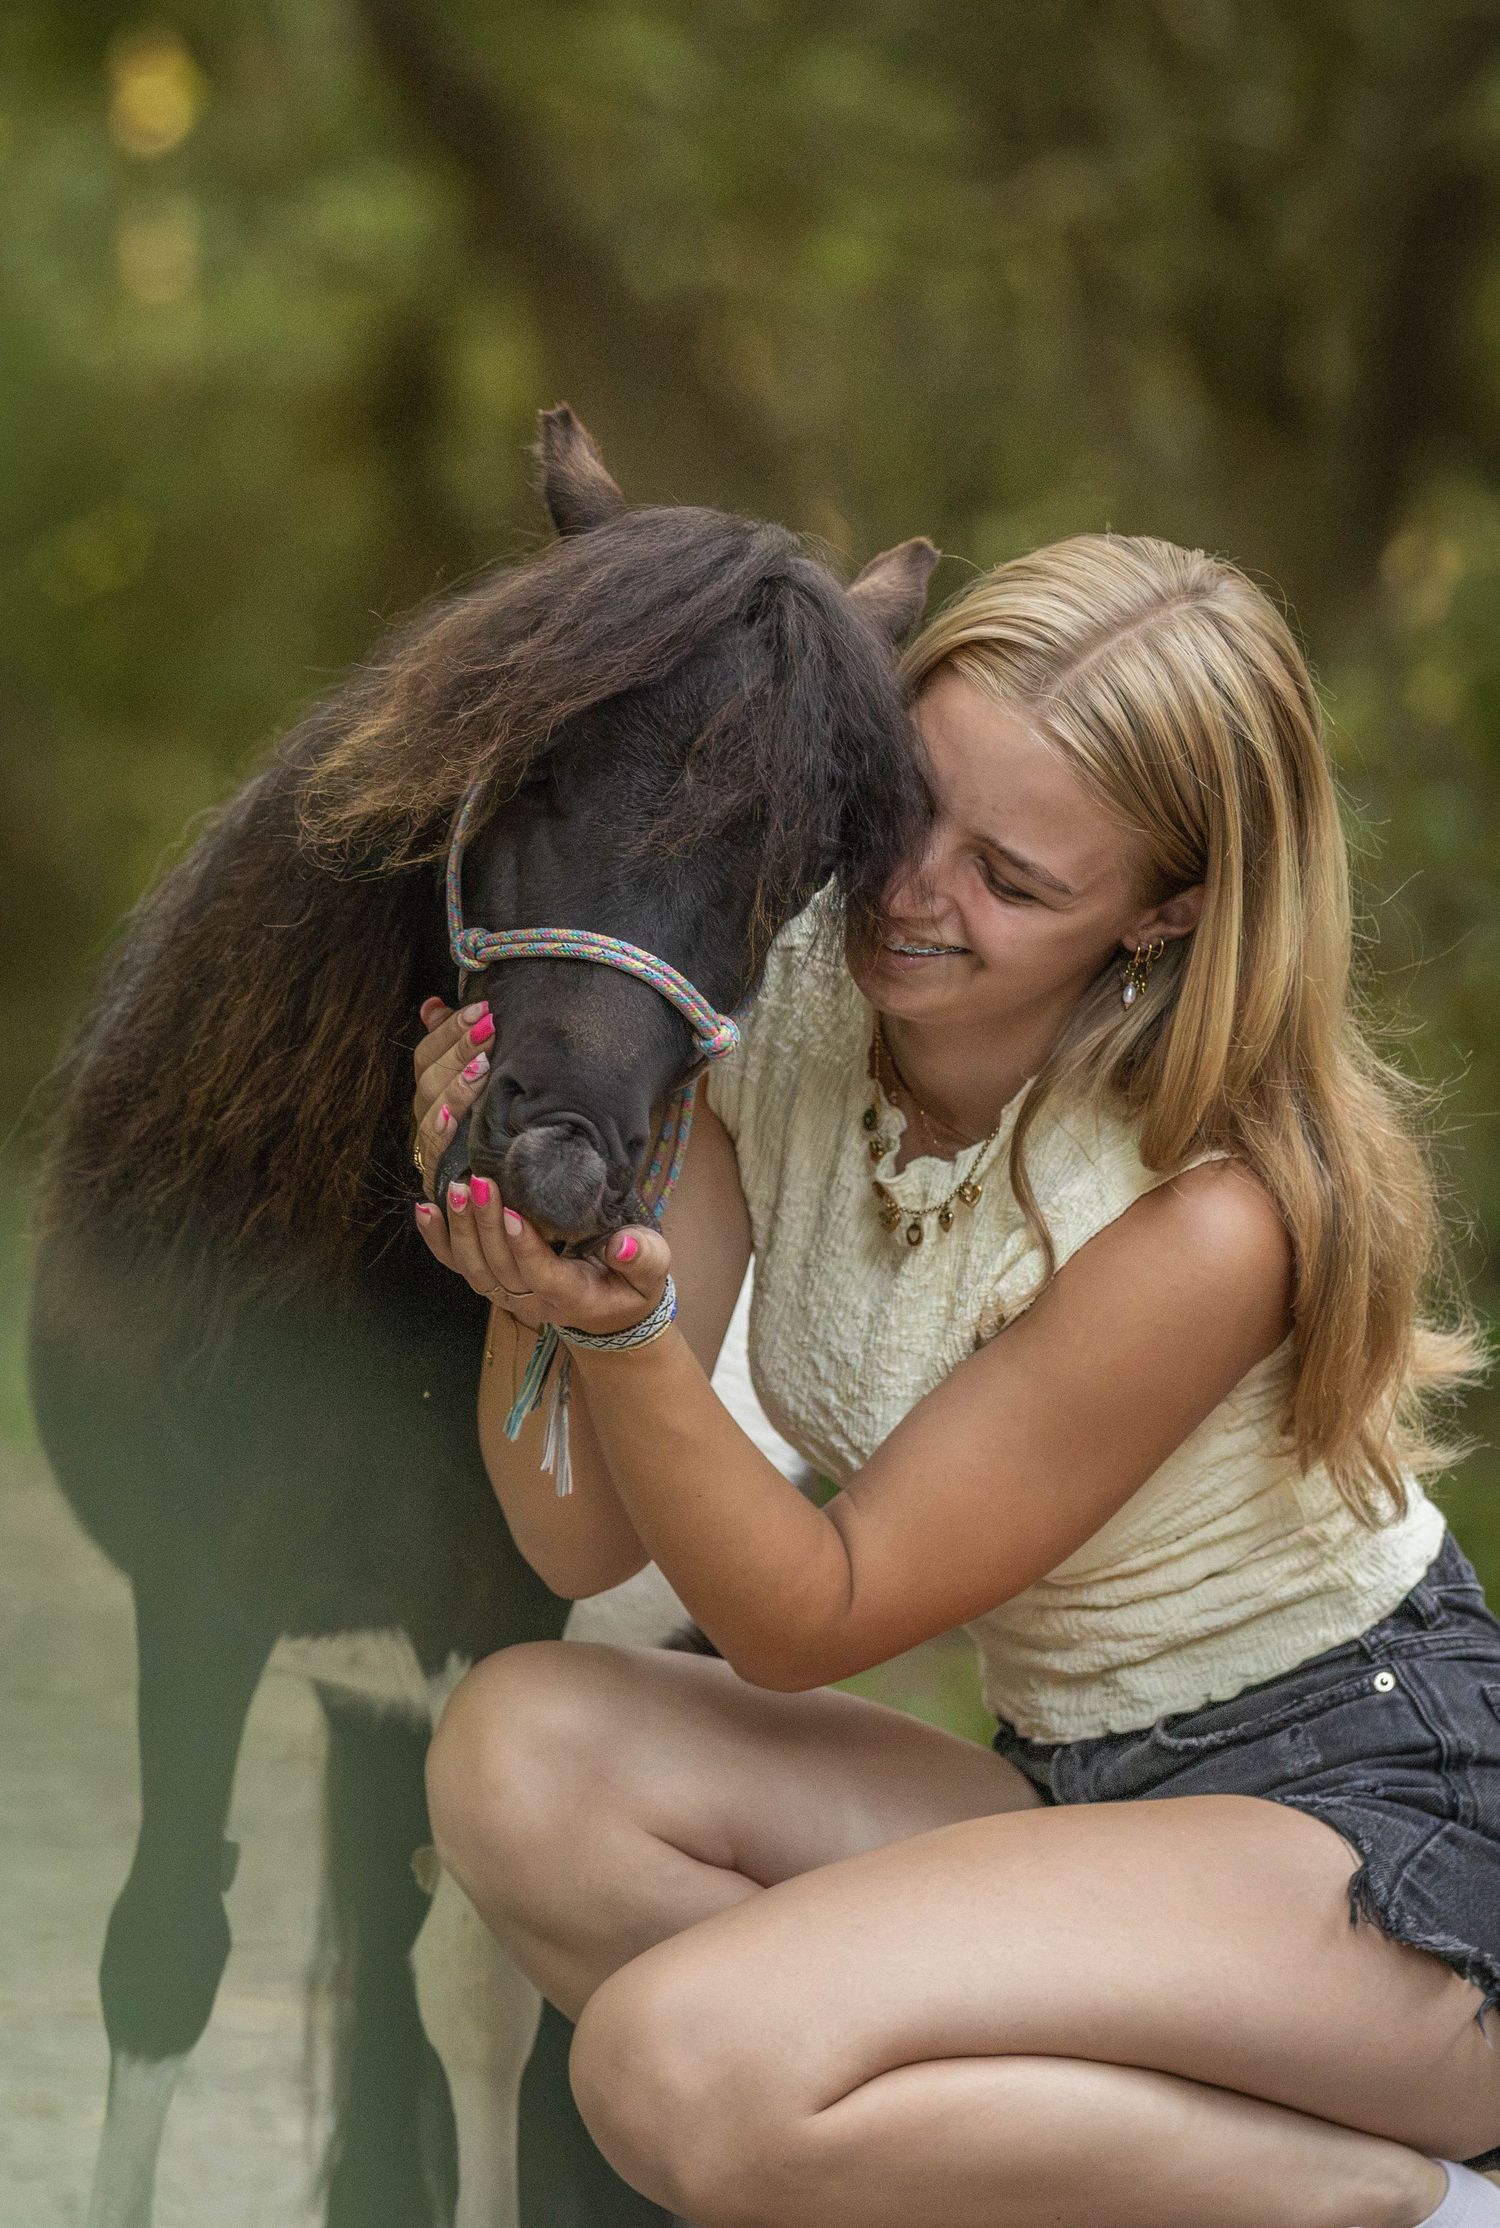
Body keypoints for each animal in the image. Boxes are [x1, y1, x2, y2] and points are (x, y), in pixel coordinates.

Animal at [28, 404, 937, 2228]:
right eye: (532, 759)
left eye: (794, 868)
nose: (555, 1156)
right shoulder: (200, 1591)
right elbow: (162, 1953)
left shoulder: (494, 1615)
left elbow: (489, 2005)